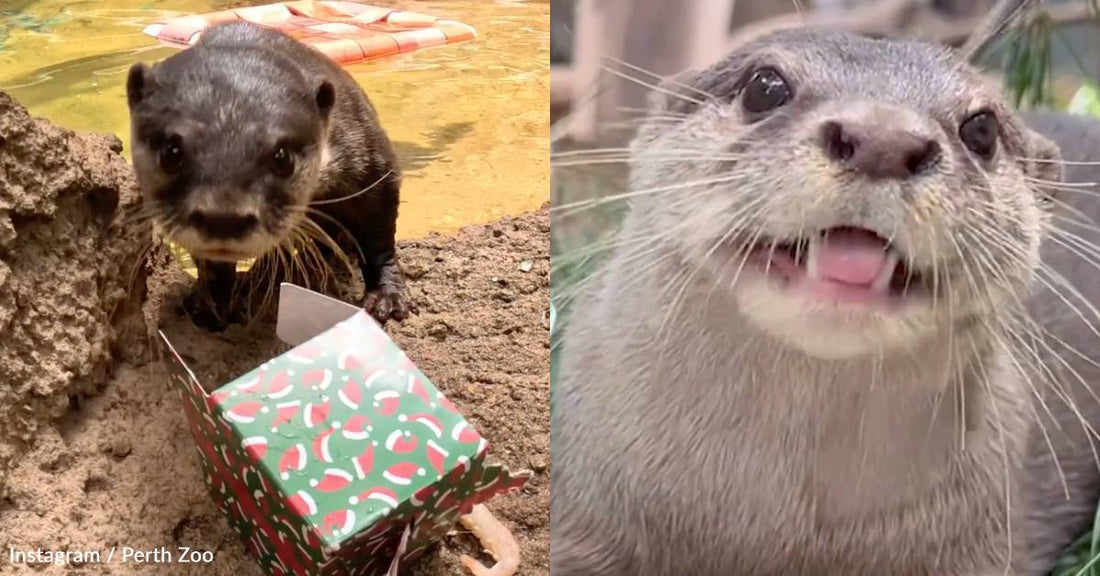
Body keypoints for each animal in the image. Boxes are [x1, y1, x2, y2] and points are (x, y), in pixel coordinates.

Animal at [124, 20, 413, 329]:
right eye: (172, 151)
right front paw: (210, 301)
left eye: (282, 156)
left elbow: (379, 234)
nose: (223, 219)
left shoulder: (368, 156)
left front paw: (388, 296)